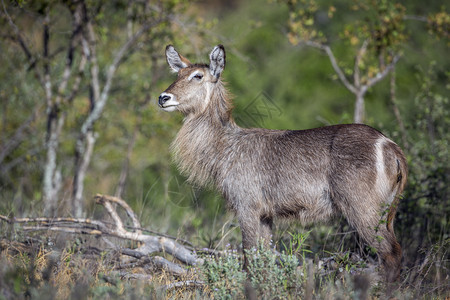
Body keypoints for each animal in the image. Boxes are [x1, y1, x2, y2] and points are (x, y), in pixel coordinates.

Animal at [158, 44, 408, 282]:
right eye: (178, 73)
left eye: (198, 76)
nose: (163, 97)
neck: (225, 146)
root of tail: (391, 146)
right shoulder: (266, 215)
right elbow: (264, 259)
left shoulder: (247, 206)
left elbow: (248, 257)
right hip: (385, 210)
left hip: (362, 207)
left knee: (391, 253)